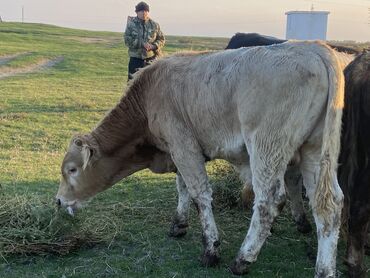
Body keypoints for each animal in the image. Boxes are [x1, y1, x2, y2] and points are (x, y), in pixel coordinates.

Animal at [56, 40, 346, 276]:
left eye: (72, 169)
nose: (58, 201)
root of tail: (313, 48)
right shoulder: (178, 151)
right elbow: (183, 187)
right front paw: (179, 224)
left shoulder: (183, 146)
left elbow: (200, 194)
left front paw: (210, 250)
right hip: (315, 152)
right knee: (328, 205)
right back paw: (324, 269)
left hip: (267, 146)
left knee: (269, 200)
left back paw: (243, 259)